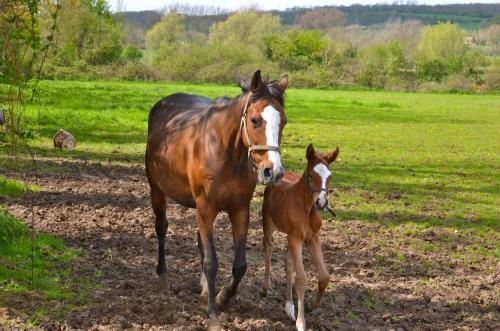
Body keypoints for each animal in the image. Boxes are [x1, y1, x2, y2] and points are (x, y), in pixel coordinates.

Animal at [145, 70, 290, 330]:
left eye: (283, 121)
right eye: (255, 120)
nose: (272, 171)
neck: (226, 150)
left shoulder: (239, 210)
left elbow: (240, 264)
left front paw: (223, 298)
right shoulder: (206, 207)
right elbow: (212, 262)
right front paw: (212, 314)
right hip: (157, 191)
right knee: (161, 228)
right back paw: (162, 275)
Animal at [260, 145, 338, 331]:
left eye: (329, 176)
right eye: (310, 175)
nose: (322, 204)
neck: (307, 209)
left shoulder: (312, 238)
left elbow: (324, 276)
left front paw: (310, 306)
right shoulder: (296, 238)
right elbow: (301, 279)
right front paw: (301, 322)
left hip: (291, 237)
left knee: (287, 262)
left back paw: (289, 306)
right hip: (269, 224)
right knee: (268, 248)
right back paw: (265, 288)